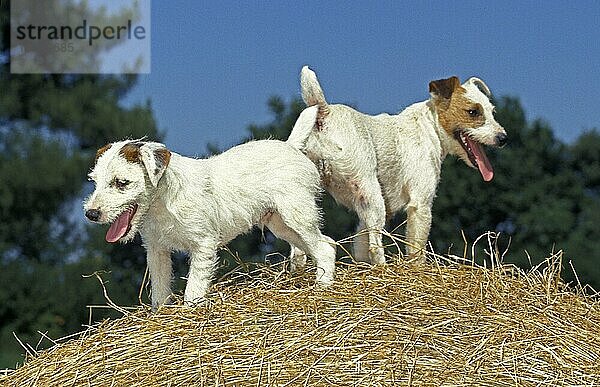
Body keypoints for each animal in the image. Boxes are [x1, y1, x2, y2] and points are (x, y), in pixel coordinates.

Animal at [84, 139, 336, 310]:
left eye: (121, 183)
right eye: (94, 181)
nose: (91, 213)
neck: (161, 204)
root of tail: (291, 147)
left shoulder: (202, 245)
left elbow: (193, 289)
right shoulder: (157, 251)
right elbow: (160, 289)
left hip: (296, 214)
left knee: (323, 248)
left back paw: (322, 286)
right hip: (281, 224)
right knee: (325, 243)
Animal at [288, 67, 504, 266]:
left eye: (492, 112)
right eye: (473, 112)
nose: (503, 138)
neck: (429, 128)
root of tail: (323, 113)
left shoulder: (363, 216)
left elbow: (361, 244)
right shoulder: (421, 204)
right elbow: (416, 250)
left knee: (298, 250)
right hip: (373, 196)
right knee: (376, 246)